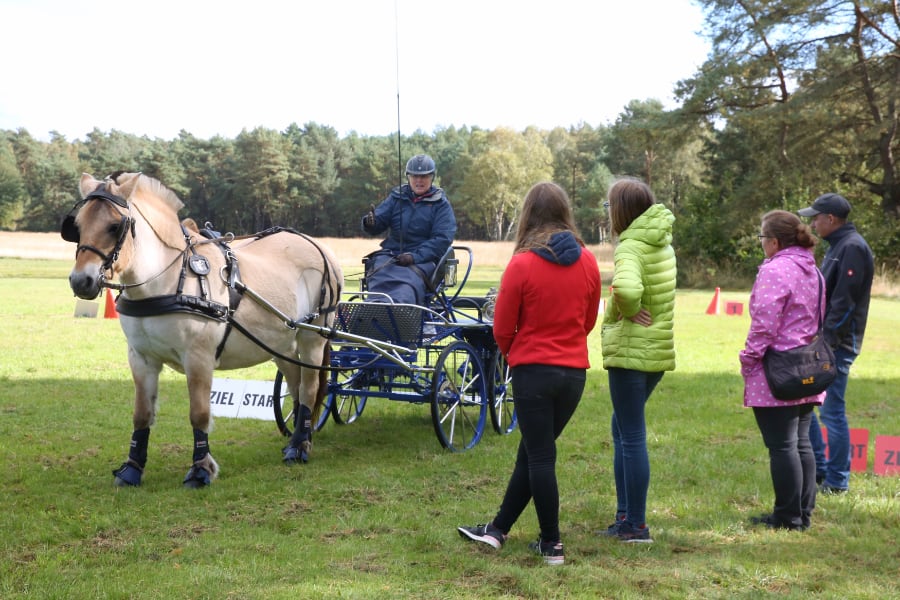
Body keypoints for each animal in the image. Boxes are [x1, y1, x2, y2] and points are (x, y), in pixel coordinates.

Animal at [64, 172, 344, 488]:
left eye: (114, 226)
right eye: (76, 226)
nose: (81, 281)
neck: (165, 280)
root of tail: (318, 246)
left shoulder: (198, 358)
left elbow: (199, 413)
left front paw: (200, 469)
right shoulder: (141, 358)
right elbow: (142, 414)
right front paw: (132, 469)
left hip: (312, 338)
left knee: (309, 389)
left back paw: (299, 447)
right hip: (281, 345)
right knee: (295, 388)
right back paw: (297, 439)